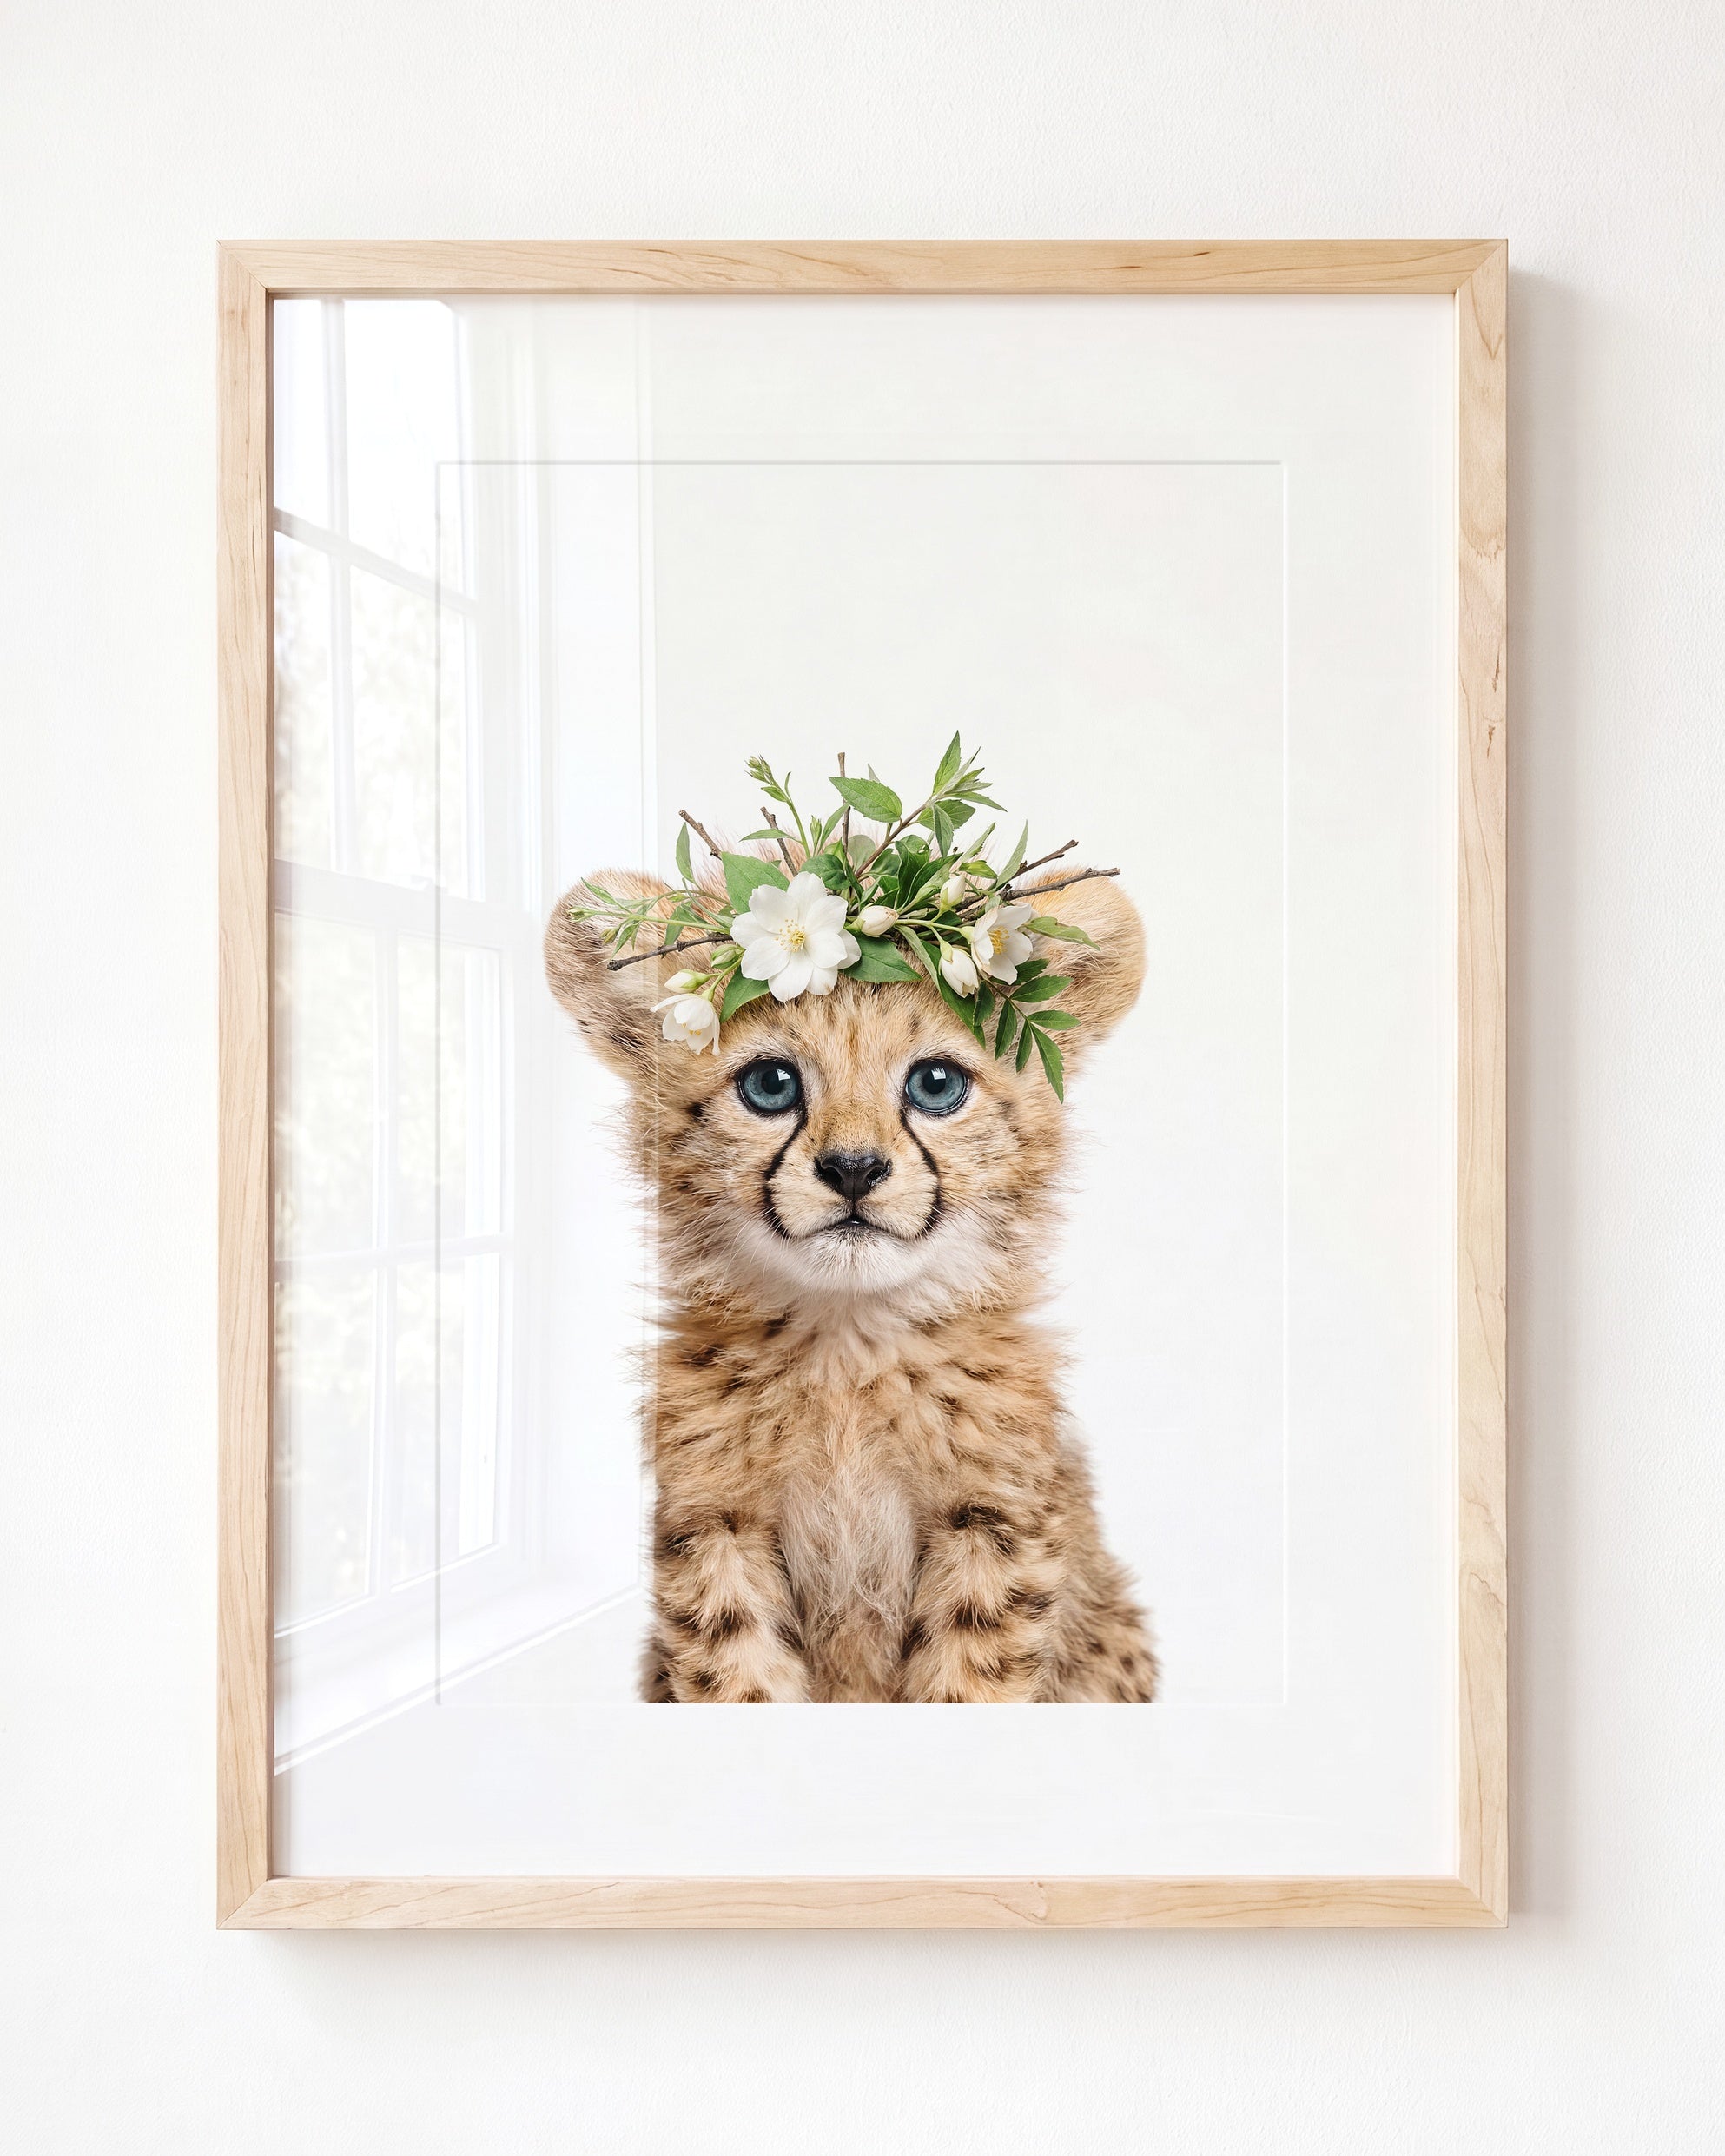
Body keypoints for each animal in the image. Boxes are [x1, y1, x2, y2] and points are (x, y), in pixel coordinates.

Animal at [543, 864, 1158, 1703]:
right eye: (771, 1084)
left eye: (936, 1084)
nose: (855, 1169)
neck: (848, 1345)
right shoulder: (716, 1526)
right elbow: (739, 1677)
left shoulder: (993, 1526)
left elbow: (971, 1682)